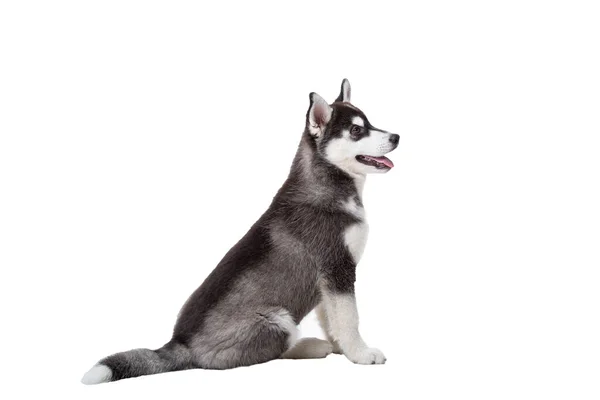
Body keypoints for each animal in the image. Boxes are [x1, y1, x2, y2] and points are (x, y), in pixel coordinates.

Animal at [79, 79, 398, 384]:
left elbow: (331, 318)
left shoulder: (329, 279)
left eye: (369, 123)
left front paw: (343, 348)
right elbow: (349, 318)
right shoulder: (336, 267)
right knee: (270, 351)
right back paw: (309, 346)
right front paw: (360, 354)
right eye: (356, 130)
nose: (396, 137)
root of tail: (180, 342)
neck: (329, 184)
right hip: (278, 318)